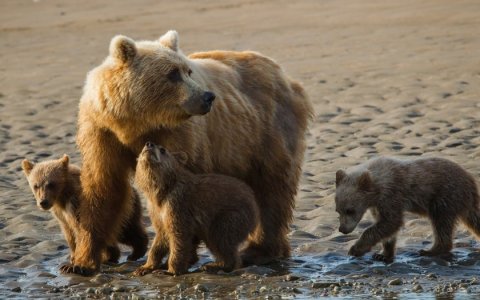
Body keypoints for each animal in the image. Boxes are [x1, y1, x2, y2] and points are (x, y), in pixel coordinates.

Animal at [68, 30, 316, 274]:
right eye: (172, 74)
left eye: (187, 71)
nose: (208, 96)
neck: (134, 124)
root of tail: (284, 75)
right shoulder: (102, 132)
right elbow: (103, 188)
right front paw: (80, 262)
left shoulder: (178, 135)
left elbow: (186, 188)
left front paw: (180, 258)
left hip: (268, 130)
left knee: (272, 189)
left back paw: (259, 251)